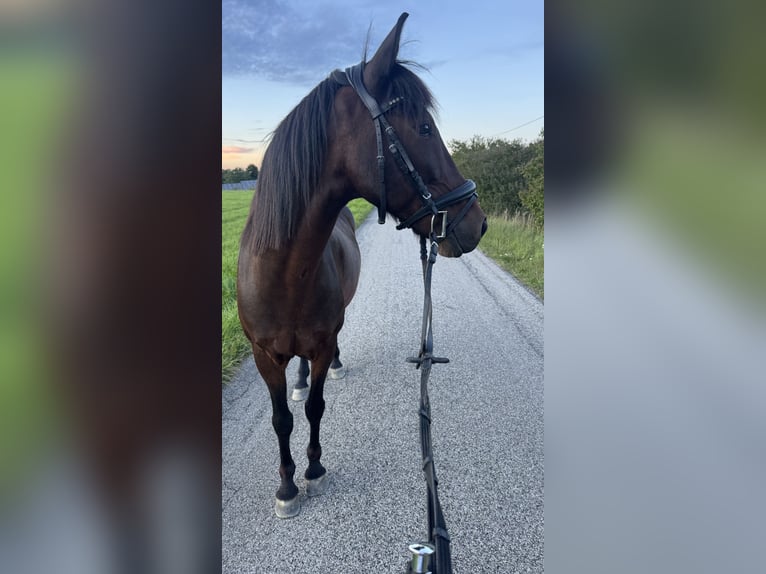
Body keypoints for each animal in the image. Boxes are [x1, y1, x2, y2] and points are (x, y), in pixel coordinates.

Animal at [237, 12, 487, 518]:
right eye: (423, 128)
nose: (478, 222)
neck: (283, 276)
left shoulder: (321, 340)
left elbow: (314, 408)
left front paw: (313, 469)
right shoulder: (262, 356)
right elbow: (281, 418)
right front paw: (287, 486)